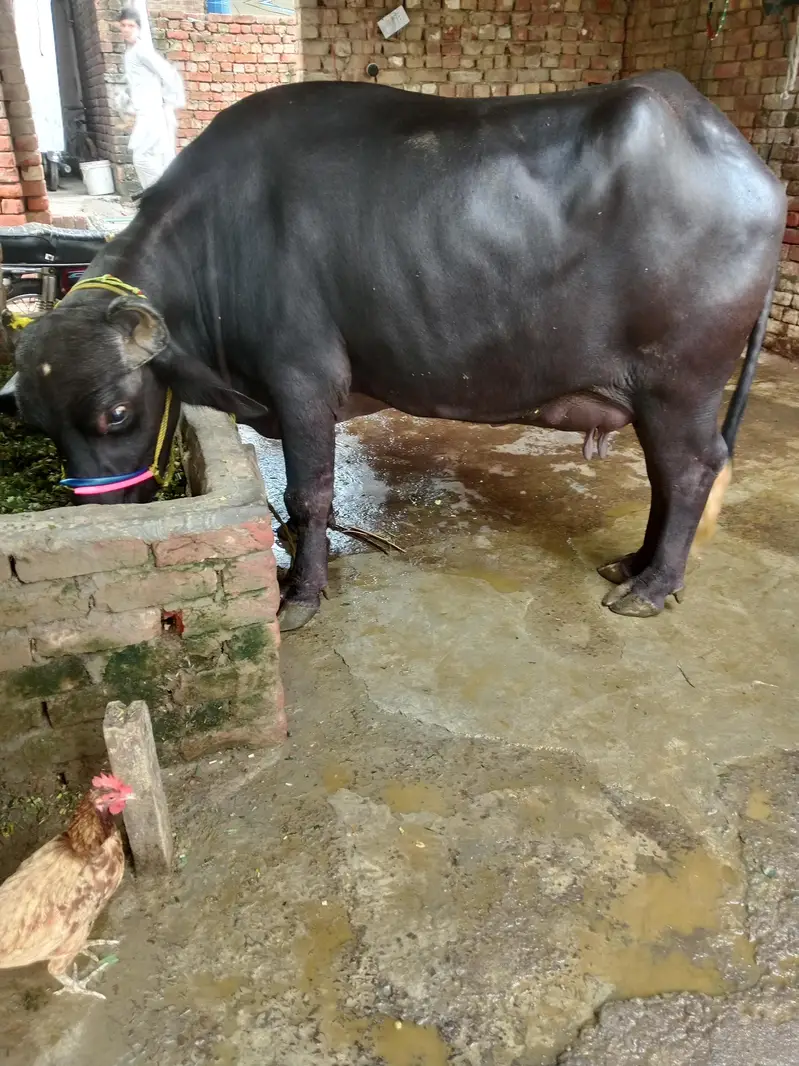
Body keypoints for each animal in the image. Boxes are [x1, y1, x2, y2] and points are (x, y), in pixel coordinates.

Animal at [0, 71, 786, 632]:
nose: (102, 513)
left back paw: (653, 587)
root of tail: (757, 175)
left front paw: (301, 593)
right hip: (658, 397)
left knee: (691, 471)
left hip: (681, 385)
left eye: (116, 412)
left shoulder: (302, 381)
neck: (217, 240)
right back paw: (633, 565)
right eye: (38, 422)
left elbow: (308, 495)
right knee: (667, 476)